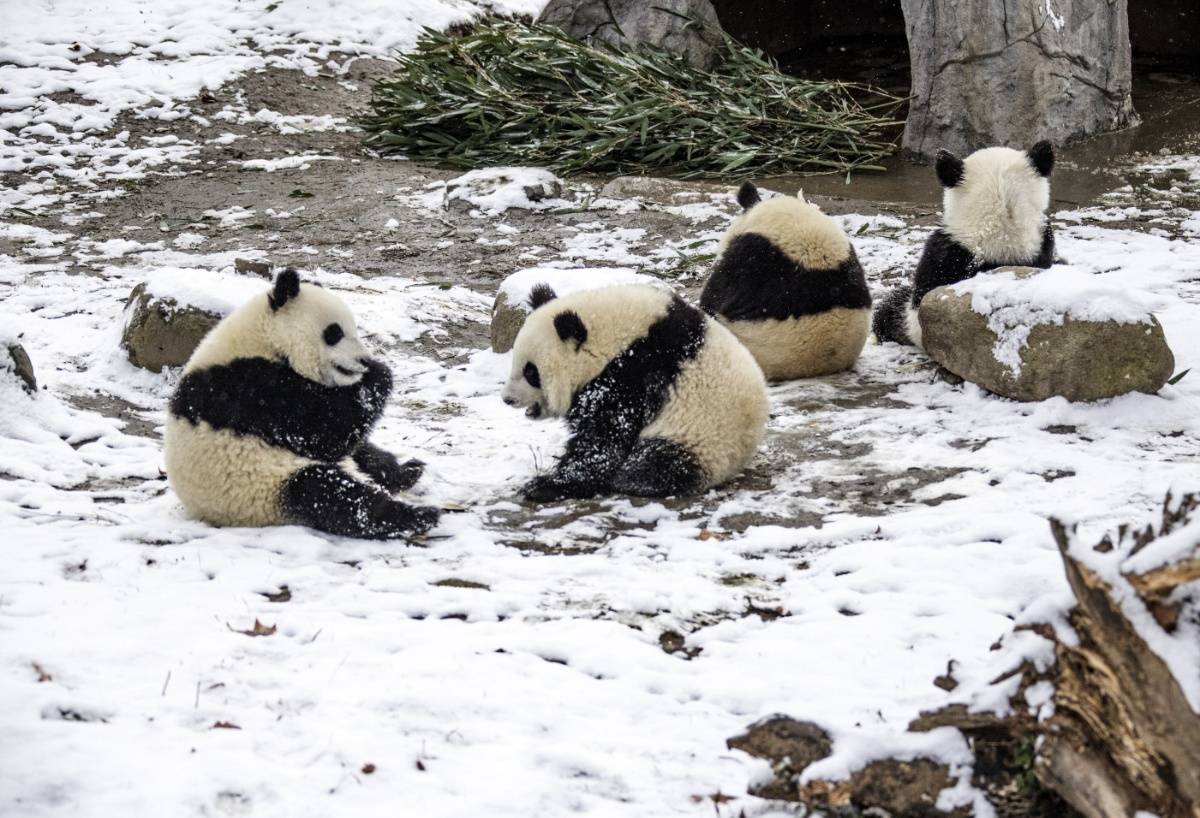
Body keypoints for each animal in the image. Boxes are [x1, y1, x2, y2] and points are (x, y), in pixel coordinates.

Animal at [162, 267, 439, 534]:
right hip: (262, 488)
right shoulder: (250, 389)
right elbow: (321, 430)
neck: (263, 339)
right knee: (330, 494)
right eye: (334, 333)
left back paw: (408, 472)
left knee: (366, 455)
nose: (363, 360)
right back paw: (417, 516)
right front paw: (378, 373)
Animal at [499, 280, 768, 501]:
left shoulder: (630, 375)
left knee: (658, 462)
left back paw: (628, 478)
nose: (507, 399)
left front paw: (546, 485)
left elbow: (604, 440)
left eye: (531, 372)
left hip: (701, 435)